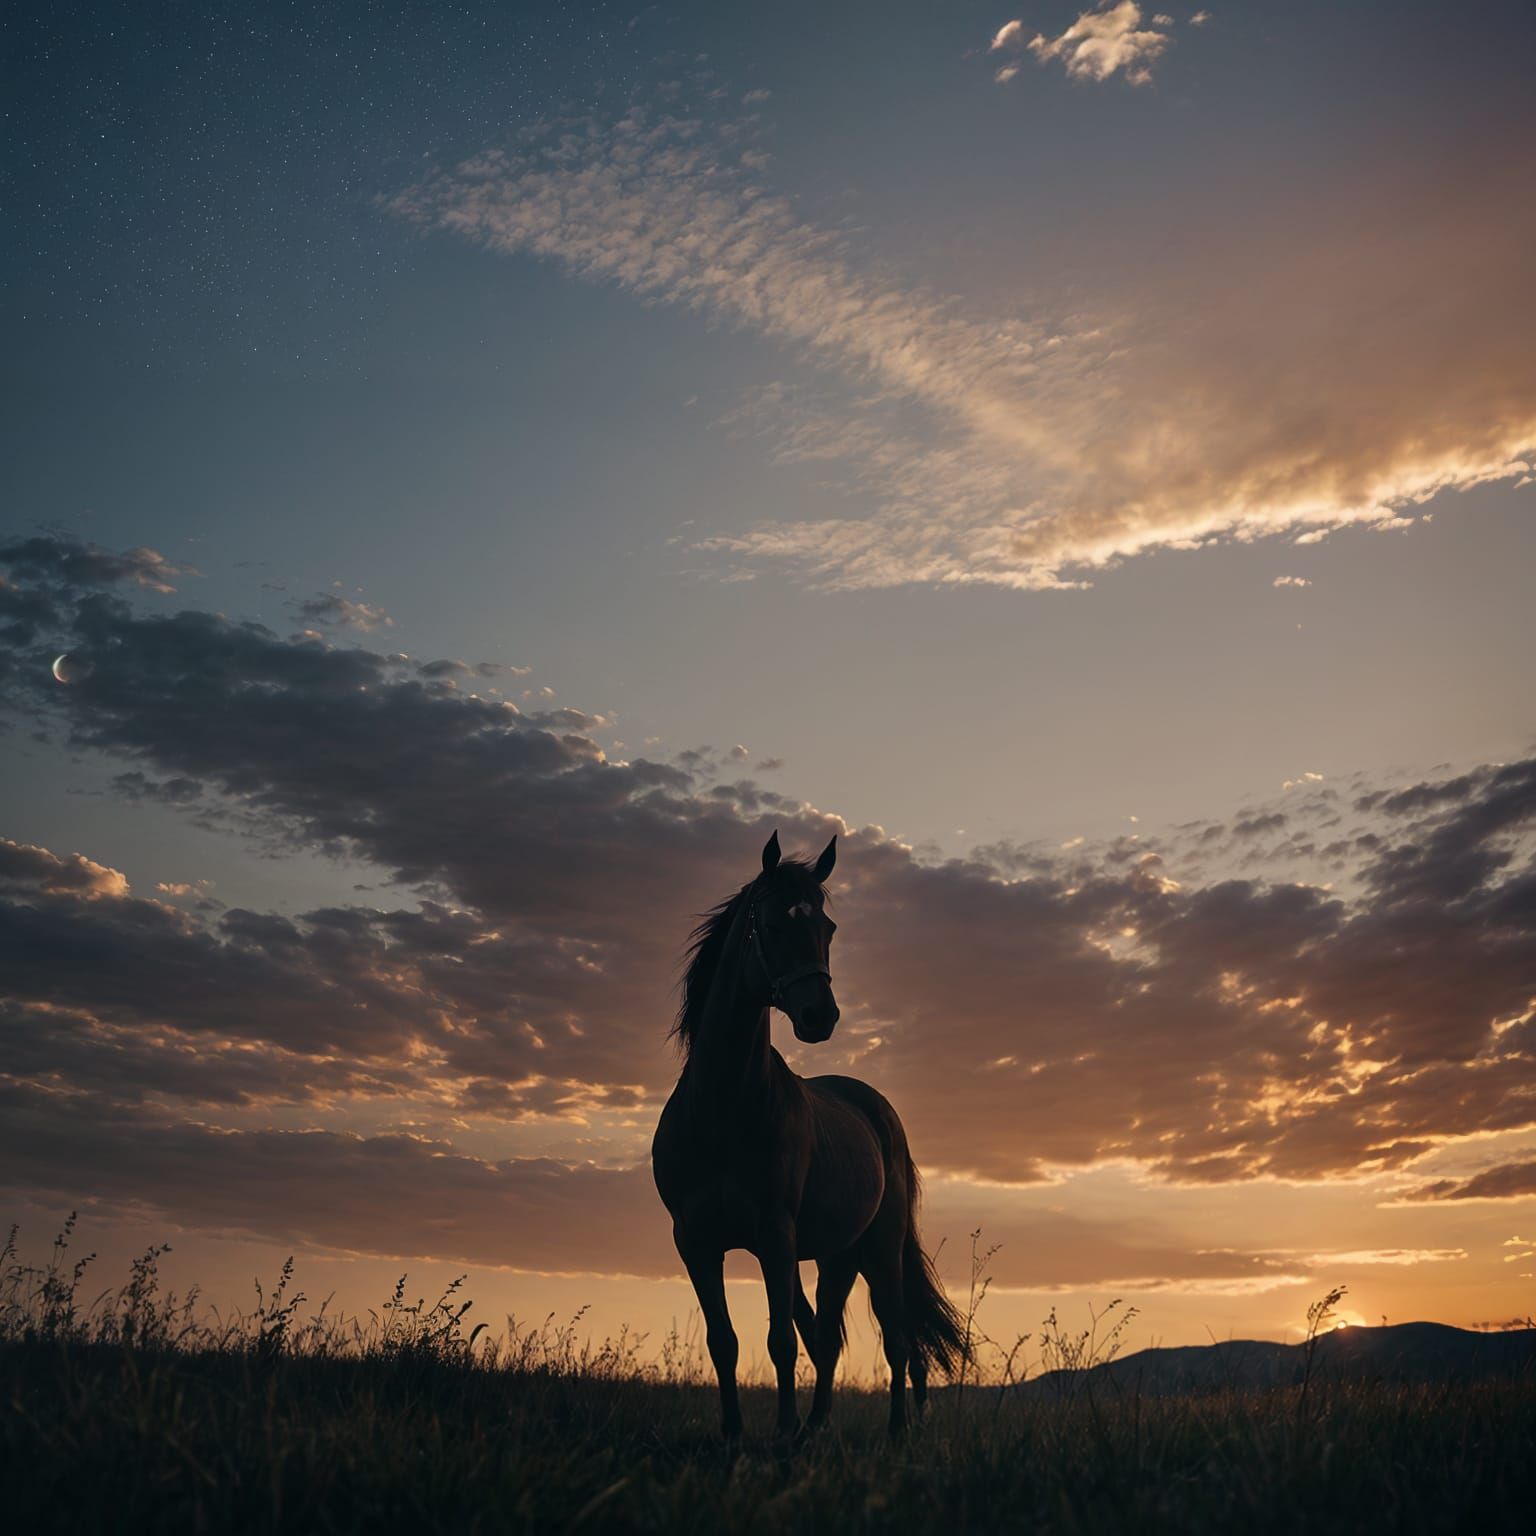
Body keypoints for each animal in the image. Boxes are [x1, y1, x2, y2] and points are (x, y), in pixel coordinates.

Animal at [651, 830, 967, 1445]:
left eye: (829, 928)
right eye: (773, 923)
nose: (821, 1016)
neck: (722, 1108)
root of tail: (877, 1109)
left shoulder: (775, 1236)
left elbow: (780, 1340)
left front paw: (780, 1434)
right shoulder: (696, 1241)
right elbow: (725, 1342)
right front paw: (736, 1434)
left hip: (879, 1248)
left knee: (895, 1337)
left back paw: (894, 1431)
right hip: (836, 1255)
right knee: (827, 1334)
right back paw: (817, 1426)